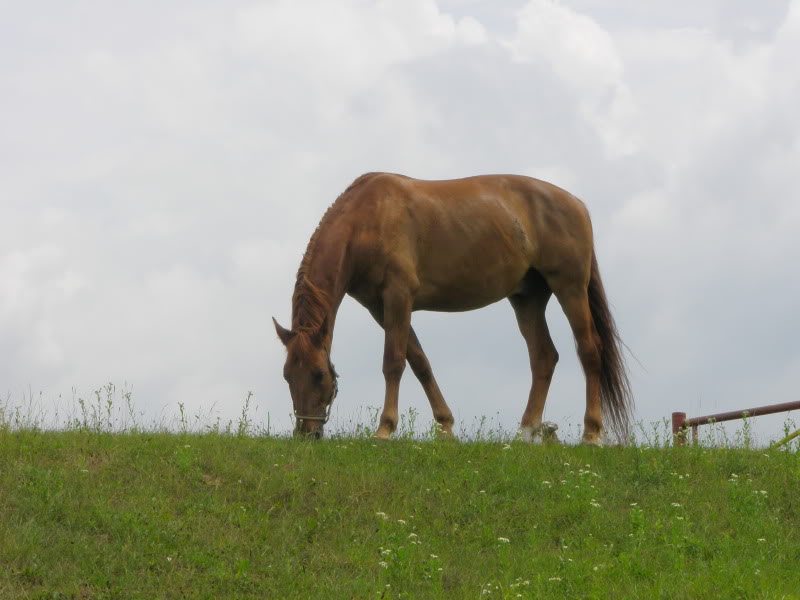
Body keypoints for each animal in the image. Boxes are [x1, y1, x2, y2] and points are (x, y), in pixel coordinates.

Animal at [276, 171, 632, 442]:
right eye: (287, 376)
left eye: (319, 375)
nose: (306, 433)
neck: (367, 219)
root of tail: (577, 205)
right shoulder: (381, 308)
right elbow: (420, 362)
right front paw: (445, 426)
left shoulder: (398, 297)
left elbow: (394, 362)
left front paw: (385, 429)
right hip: (528, 299)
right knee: (544, 357)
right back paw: (526, 432)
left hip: (569, 288)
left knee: (589, 350)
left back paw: (591, 434)